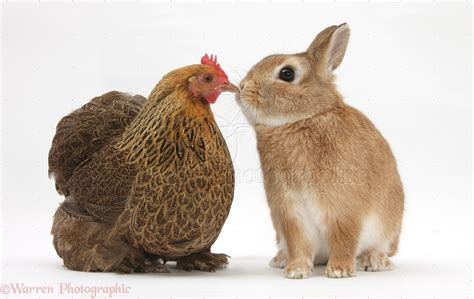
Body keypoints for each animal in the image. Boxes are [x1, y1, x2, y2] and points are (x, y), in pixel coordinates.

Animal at [236, 24, 404, 282]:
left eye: (287, 73)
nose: (242, 87)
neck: (305, 118)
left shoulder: (343, 207)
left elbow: (344, 238)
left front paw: (339, 271)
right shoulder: (290, 211)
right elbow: (300, 243)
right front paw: (296, 270)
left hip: (388, 228)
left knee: (382, 249)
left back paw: (373, 261)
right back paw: (281, 259)